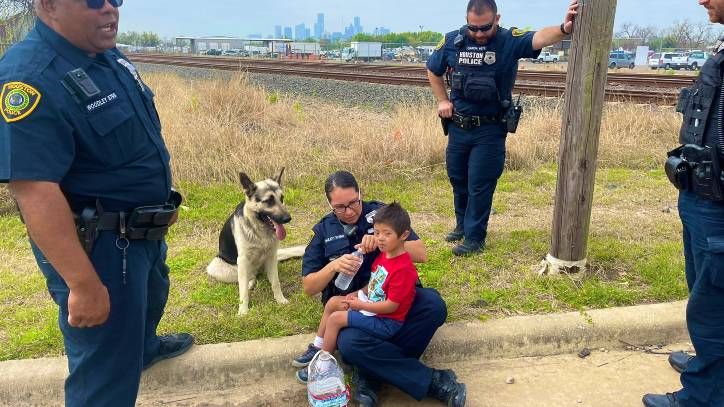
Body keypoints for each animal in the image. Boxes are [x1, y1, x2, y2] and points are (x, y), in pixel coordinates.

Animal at [205, 168, 304, 316]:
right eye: (269, 201)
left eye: (282, 199)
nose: (288, 218)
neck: (260, 231)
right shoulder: (242, 260)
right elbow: (243, 291)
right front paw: (243, 311)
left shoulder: (271, 256)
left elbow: (276, 282)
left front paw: (280, 300)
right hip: (218, 267)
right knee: (247, 278)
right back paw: (249, 283)